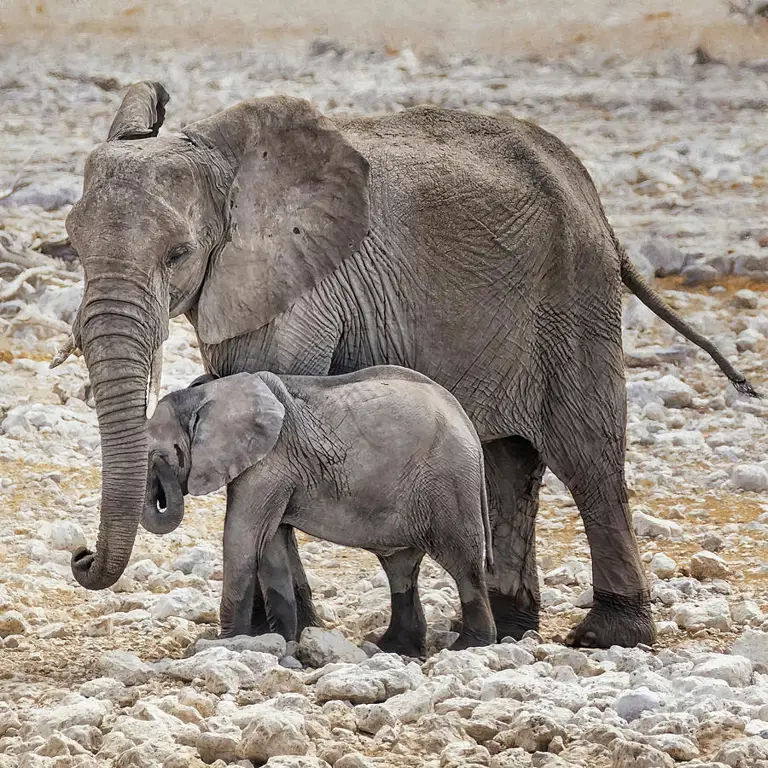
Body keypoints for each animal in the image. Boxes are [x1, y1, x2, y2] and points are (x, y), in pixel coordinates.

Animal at [144, 366, 498, 656]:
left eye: (158, 454)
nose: (162, 469)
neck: (206, 395)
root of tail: (468, 426)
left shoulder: (270, 461)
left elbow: (242, 537)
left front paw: (225, 643)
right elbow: (270, 545)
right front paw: (286, 642)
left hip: (449, 484)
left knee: (463, 563)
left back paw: (469, 646)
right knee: (401, 568)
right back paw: (393, 648)